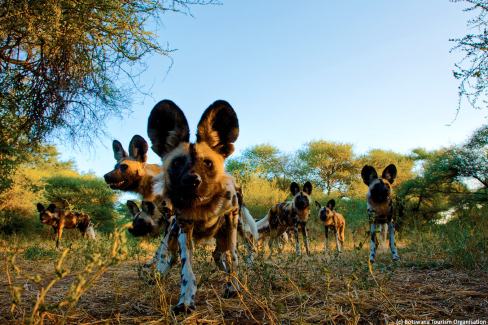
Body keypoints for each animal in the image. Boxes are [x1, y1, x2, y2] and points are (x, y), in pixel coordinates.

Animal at [143, 99, 258, 314]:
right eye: (177, 163)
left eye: (208, 163)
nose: (191, 180)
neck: (203, 207)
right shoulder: (183, 228)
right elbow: (187, 270)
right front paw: (185, 301)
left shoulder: (231, 220)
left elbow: (234, 258)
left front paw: (233, 287)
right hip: (173, 233)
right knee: (171, 256)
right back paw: (159, 275)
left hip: (234, 229)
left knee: (233, 253)